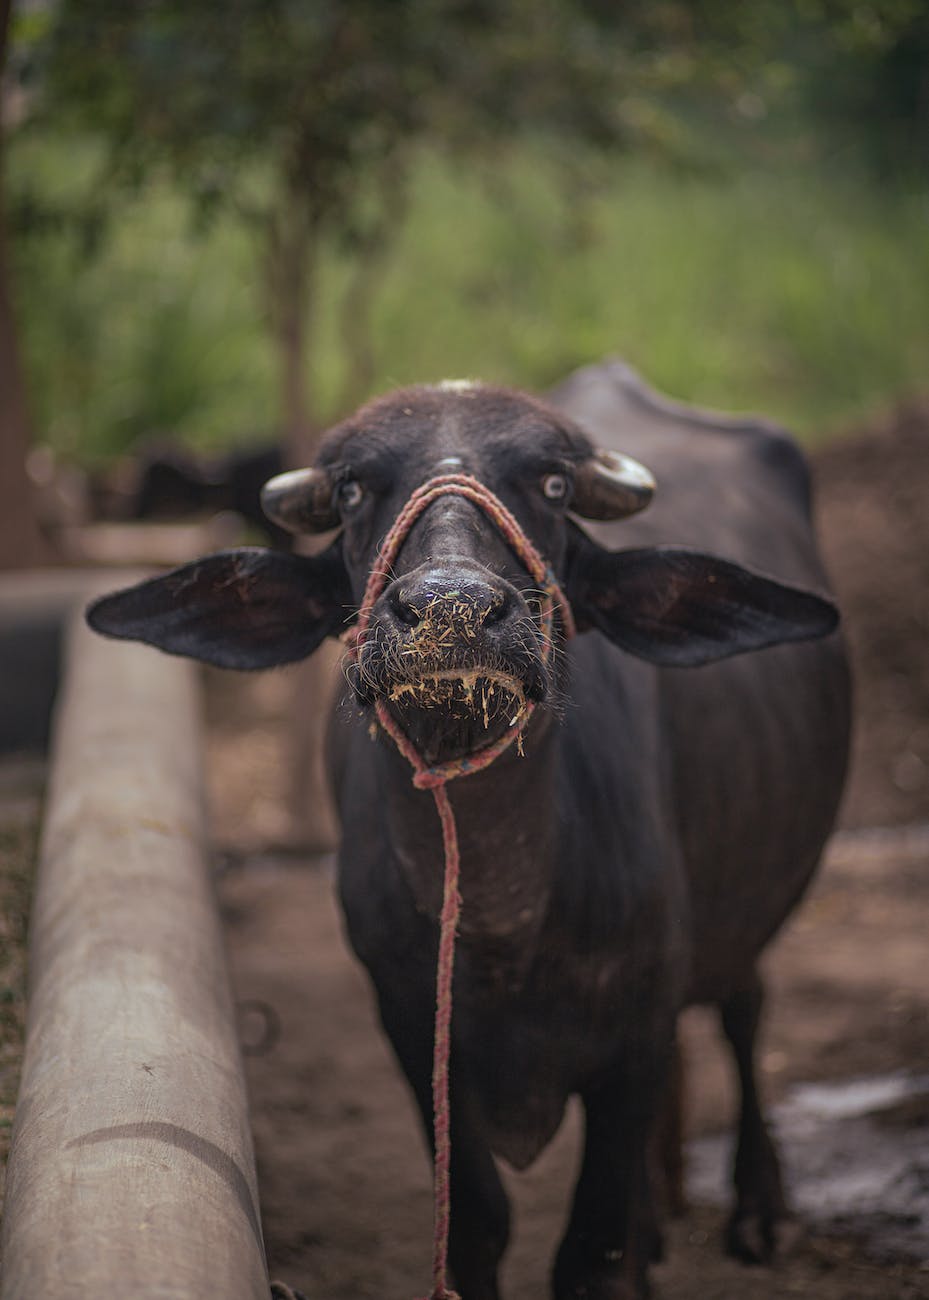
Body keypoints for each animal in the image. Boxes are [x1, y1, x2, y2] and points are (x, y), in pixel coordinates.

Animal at [87, 359, 851, 1299]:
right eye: (352, 490)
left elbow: (591, 1251)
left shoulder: (637, 1027)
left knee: (745, 1009)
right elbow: (478, 1227)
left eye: (551, 484)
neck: (502, 925)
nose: (449, 609)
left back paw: (758, 1207)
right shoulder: (412, 1025)